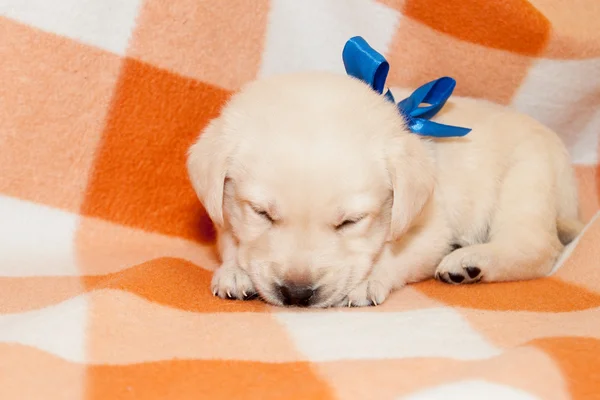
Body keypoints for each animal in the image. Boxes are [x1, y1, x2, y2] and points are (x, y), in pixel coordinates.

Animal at [186, 72, 580, 308]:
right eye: (261, 213)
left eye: (351, 221)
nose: (297, 294)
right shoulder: (223, 214)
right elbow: (231, 242)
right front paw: (235, 271)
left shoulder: (430, 228)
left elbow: (395, 256)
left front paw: (367, 281)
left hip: (526, 180)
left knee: (538, 248)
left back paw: (470, 263)